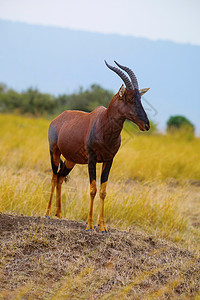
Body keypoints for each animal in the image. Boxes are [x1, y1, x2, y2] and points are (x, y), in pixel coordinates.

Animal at [45, 60, 150, 232]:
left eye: (140, 98)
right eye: (130, 99)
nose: (146, 125)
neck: (103, 123)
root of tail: (58, 118)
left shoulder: (109, 160)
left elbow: (103, 191)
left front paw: (103, 226)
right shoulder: (92, 160)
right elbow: (93, 189)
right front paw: (89, 224)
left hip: (71, 160)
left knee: (60, 177)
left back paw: (59, 214)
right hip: (54, 152)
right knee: (54, 177)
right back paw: (47, 213)